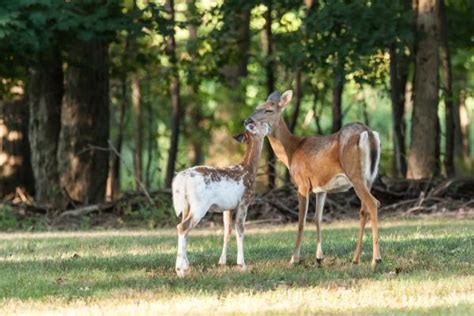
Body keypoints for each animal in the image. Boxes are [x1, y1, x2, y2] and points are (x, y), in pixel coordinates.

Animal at [171, 121, 268, 276]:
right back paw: (180, 271)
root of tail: (182, 178)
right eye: (260, 124)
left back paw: (185, 265)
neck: (249, 170)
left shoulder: (228, 208)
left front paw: (222, 261)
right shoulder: (244, 201)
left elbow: (227, 231)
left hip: (187, 205)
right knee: (183, 227)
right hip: (200, 205)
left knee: (184, 228)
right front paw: (242, 264)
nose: (268, 124)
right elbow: (240, 229)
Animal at [244, 90, 382, 268]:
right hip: (369, 177)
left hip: (355, 174)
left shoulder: (302, 183)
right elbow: (318, 218)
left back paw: (376, 258)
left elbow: (301, 221)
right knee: (364, 210)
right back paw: (355, 258)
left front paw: (294, 258)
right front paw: (319, 257)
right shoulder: (321, 188)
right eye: (256, 108)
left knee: (373, 203)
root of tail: (369, 133)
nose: (248, 120)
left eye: (269, 110)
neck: (292, 152)